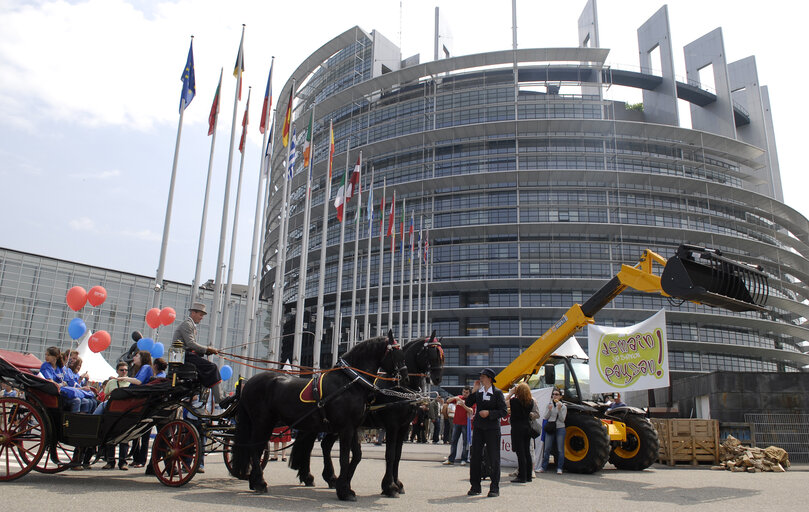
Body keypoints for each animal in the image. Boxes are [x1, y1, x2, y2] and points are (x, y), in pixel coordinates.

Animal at [227, 332, 404, 500]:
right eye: (396, 351)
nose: (404, 375)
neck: (349, 382)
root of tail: (249, 383)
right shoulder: (346, 428)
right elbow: (344, 457)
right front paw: (345, 490)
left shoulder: (353, 427)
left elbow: (357, 456)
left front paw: (344, 484)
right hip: (262, 421)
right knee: (254, 447)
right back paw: (260, 482)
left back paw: (256, 481)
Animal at [290, 332, 442, 496]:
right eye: (433, 354)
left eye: (442, 355)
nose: (438, 378)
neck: (400, 388)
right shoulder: (392, 426)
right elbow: (390, 454)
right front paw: (389, 486)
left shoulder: (404, 427)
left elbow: (398, 455)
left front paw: (397, 483)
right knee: (308, 446)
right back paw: (309, 476)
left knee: (324, 445)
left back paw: (329, 478)